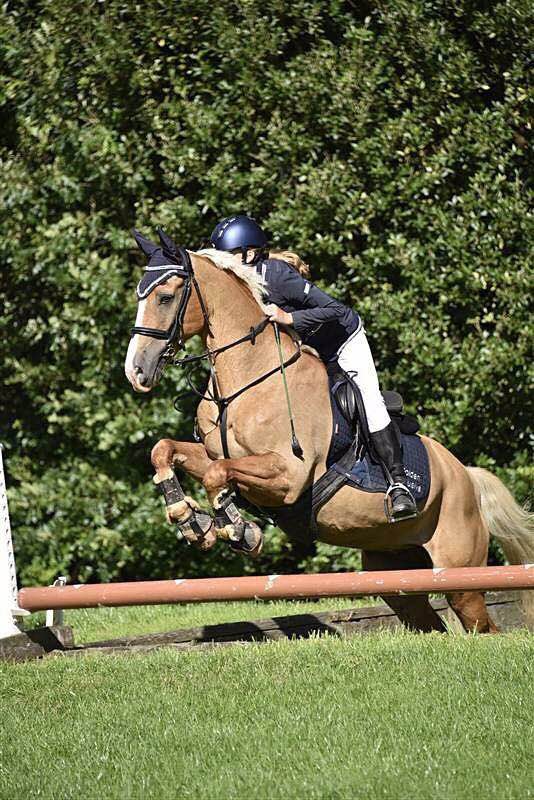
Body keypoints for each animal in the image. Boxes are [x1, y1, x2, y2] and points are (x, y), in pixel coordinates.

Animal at [125, 243, 534, 633]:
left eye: (165, 297)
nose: (136, 371)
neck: (248, 379)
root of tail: (466, 476)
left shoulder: (287, 477)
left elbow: (217, 474)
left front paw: (240, 530)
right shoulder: (218, 456)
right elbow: (165, 451)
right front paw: (190, 520)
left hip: (460, 575)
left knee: (483, 626)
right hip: (395, 572)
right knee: (429, 621)